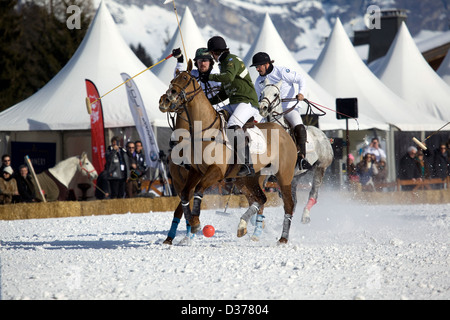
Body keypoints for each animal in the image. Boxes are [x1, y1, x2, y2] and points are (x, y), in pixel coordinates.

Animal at [158, 59, 298, 242]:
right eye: (172, 80)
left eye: (185, 78)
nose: (165, 99)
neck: (202, 130)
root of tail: (284, 131)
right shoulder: (194, 172)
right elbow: (184, 195)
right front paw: (190, 226)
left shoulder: (216, 171)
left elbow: (198, 191)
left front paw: (195, 223)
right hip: (249, 178)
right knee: (261, 198)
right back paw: (243, 226)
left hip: (284, 175)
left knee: (288, 204)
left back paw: (282, 238)